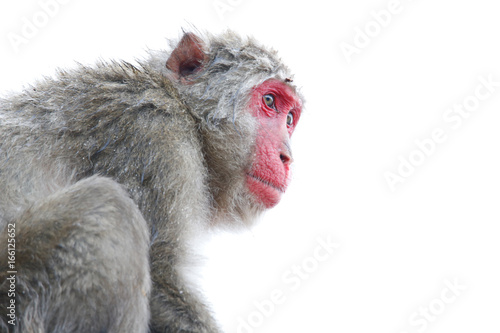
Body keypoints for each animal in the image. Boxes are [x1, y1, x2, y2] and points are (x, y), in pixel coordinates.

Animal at [0, 29, 302, 330]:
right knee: (108, 208)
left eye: (289, 118)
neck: (186, 113)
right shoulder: (152, 134)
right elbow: (160, 277)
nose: (286, 157)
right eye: (269, 101)